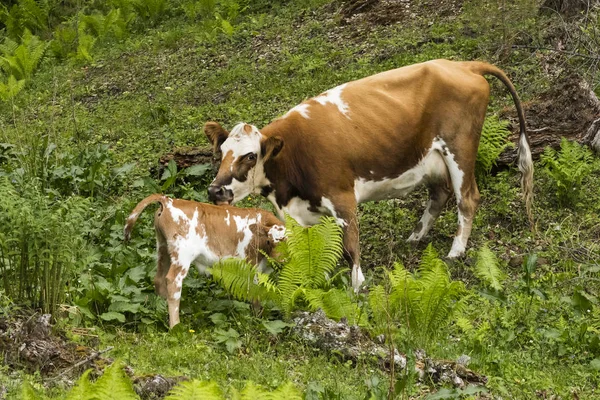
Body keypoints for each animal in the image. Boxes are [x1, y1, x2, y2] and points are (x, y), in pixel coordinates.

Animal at [123, 195, 284, 328]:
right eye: (269, 241)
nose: (280, 260)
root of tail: (168, 200)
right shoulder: (253, 266)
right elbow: (256, 293)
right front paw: (257, 318)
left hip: (163, 249)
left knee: (159, 279)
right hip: (182, 255)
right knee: (173, 281)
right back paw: (175, 325)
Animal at [205, 58, 536, 290]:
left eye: (250, 156)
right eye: (221, 152)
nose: (215, 191)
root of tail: (463, 64)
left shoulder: (342, 197)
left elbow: (351, 245)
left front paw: (357, 285)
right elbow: (316, 247)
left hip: (460, 150)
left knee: (467, 198)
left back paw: (455, 251)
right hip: (430, 158)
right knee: (439, 194)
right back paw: (415, 237)